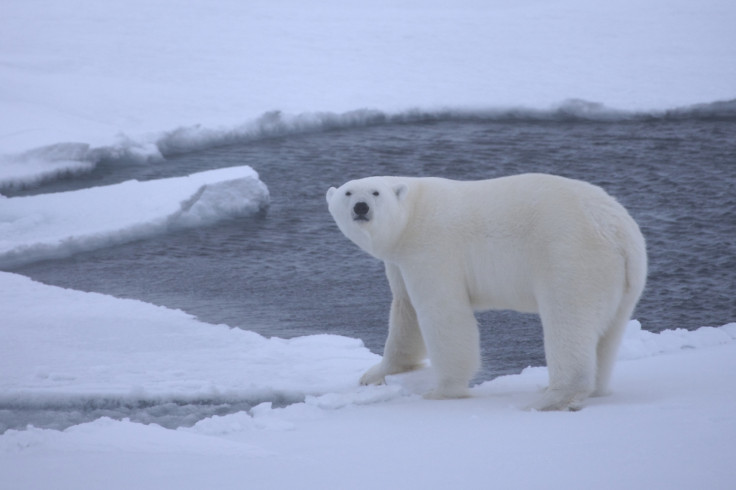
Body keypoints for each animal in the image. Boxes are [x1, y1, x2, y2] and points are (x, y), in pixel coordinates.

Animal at [324, 174, 648, 412]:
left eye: (375, 193)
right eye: (348, 193)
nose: (361, 207)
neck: (412, 215)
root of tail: (617, 229)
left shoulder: (432, 246)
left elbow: (442, 312)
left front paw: (441, 391)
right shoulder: (400, 260)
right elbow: (406, 311)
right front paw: (375, 374)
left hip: (571, 255)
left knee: (568, 321)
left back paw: (550, 398)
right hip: (624, 278)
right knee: (608, 334)